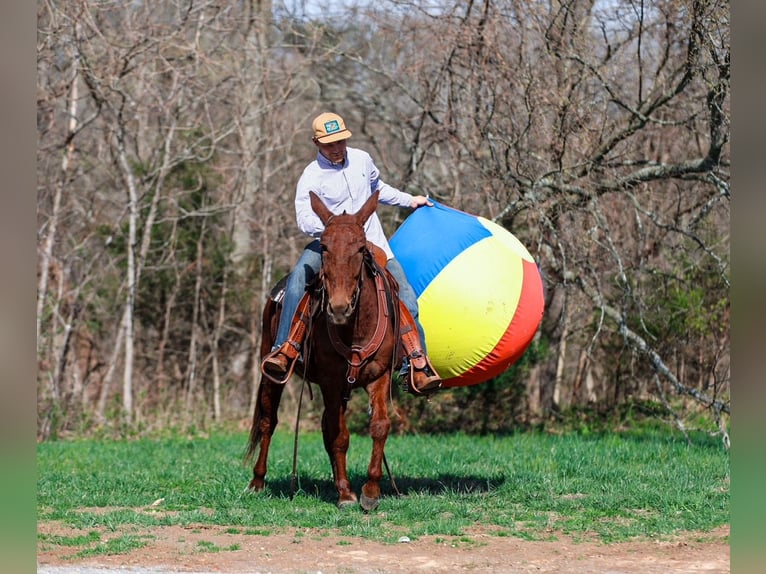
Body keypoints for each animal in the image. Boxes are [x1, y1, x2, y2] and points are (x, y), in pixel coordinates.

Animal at [244, 190, 400, 511]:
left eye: (361, 247)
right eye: (325, 247)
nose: (339, 307)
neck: (353, 328)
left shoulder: (379, 376)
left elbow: (379, 426)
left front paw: (370, 491)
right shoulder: (331, 381)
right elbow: (340, 436)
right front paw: (346, 495)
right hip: (271, 372)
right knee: (268, 421)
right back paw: (257, 481)